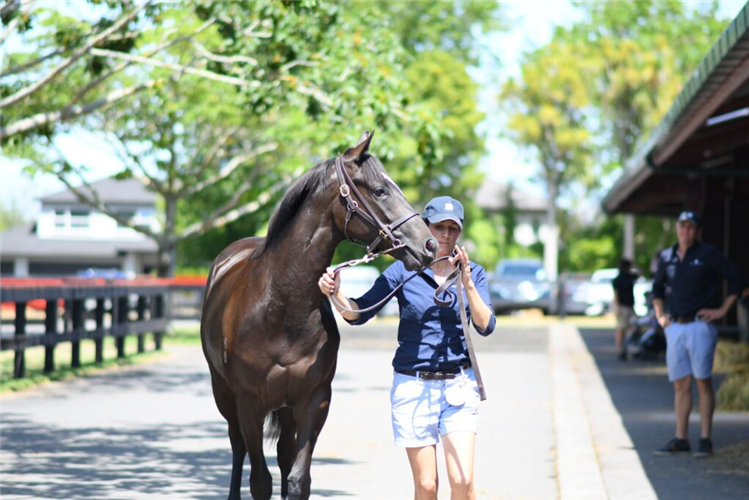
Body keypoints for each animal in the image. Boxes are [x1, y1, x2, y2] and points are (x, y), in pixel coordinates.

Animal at [202, 131, 436, 498]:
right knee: (237, 446)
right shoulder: (249, 404)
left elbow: (298, 479)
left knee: (283, 454)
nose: (428, 245)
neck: (281, 311)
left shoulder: (314, 400)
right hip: (223, 393)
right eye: (380, 190)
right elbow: (260, 481)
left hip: (286, 409)